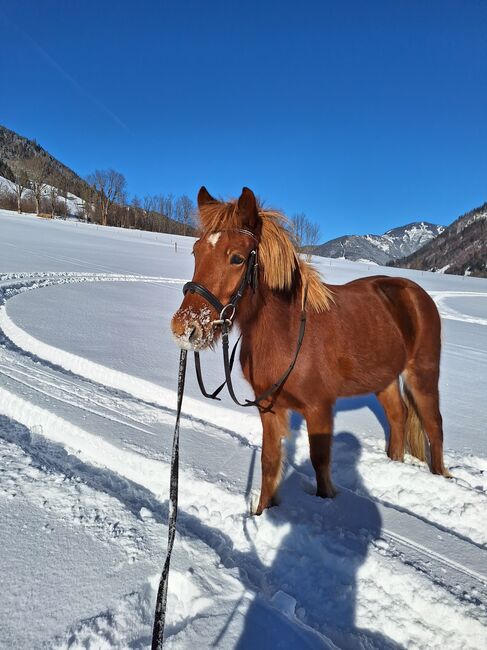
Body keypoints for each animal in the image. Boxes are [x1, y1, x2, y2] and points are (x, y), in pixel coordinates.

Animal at [171, 185, 450, 512]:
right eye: (196, 251)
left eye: (237, 259)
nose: (185, 328)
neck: (287, 333)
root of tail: (416, 293)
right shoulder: (270, 408)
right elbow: (269, 463)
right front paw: (262, 513)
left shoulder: (319, 409)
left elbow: (320, 464)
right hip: (384, 379)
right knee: (399, 416)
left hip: (423, 374)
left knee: (434, 425)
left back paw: (442, 477)